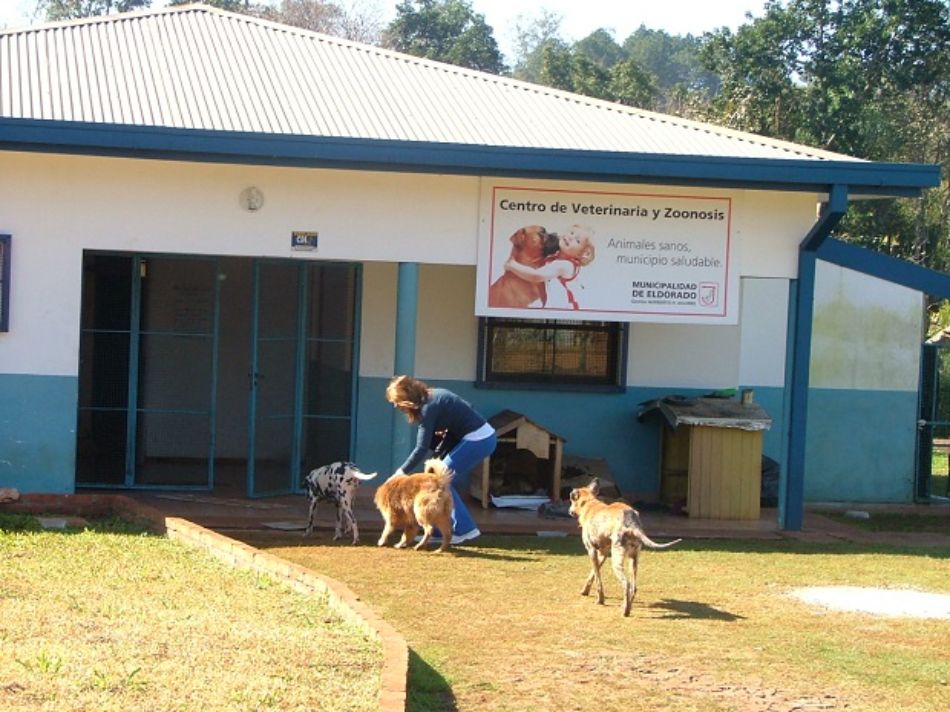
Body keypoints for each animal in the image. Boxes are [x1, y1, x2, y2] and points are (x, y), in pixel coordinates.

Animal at [568, 478, 680, 616]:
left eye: (571, 500)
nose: (569, 511)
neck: (589, 503)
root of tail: (632, 523)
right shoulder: (603, 553)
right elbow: (593, 574)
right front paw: (585, 591)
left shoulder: (592, 551)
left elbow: (598, 579)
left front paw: (600, 600)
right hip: (634, 560)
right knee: (633, 587)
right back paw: (627, 606)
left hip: (617, 560)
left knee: (626, 584)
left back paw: (625, 611)